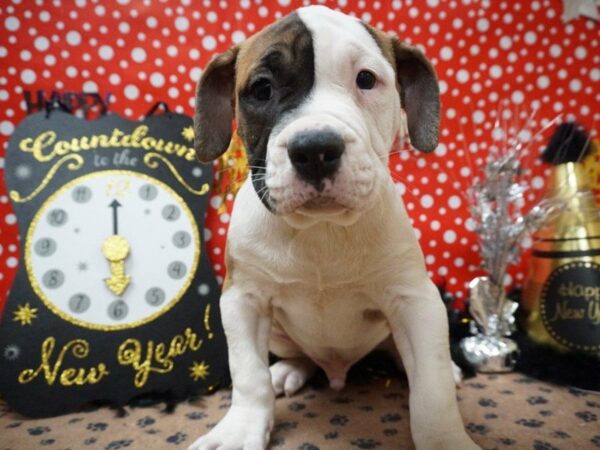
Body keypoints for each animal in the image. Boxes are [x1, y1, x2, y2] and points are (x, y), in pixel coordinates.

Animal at [190, 6, 480, 450]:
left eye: (366, 79)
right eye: (261, 89)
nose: (314, 149)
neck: (320, 230)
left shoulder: (415, 300)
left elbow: (431, 392)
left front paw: (445, 439)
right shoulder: (243, 300)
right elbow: (248, 375)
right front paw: (241, 429)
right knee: (296, 358)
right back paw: (287, 370)